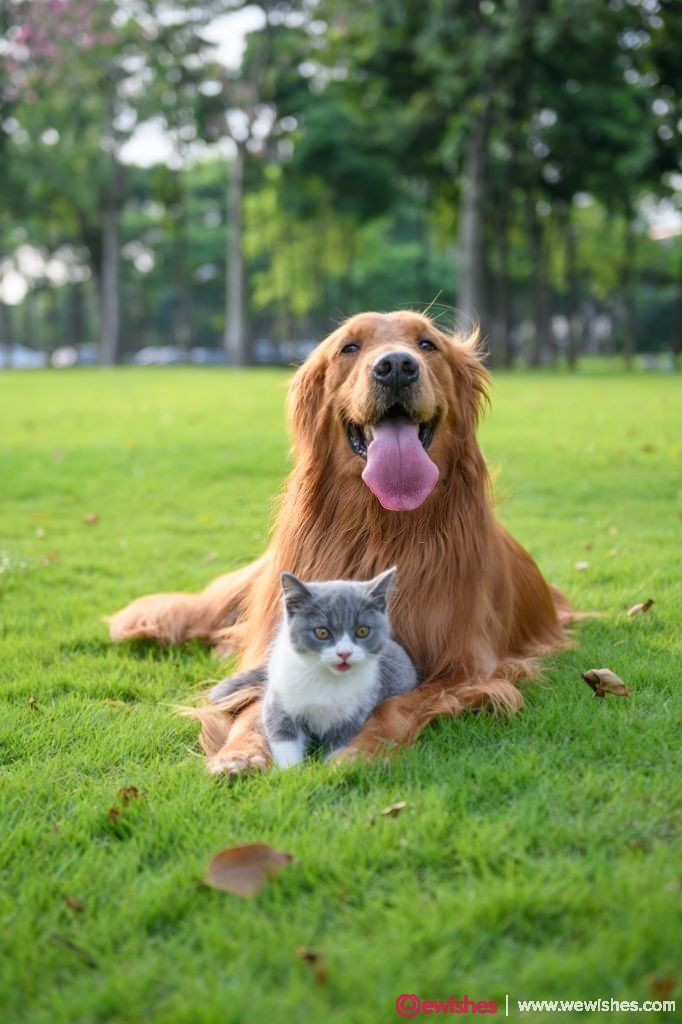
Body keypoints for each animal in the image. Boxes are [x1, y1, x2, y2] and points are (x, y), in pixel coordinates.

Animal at [209, 569, 417, 770]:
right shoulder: (280, 700)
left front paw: (334, 768)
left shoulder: (355, 711)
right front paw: (290, 772)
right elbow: (283, 736)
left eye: (362, 631)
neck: (327, 679)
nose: (344, 653)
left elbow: (340, 742)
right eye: (322, 632)